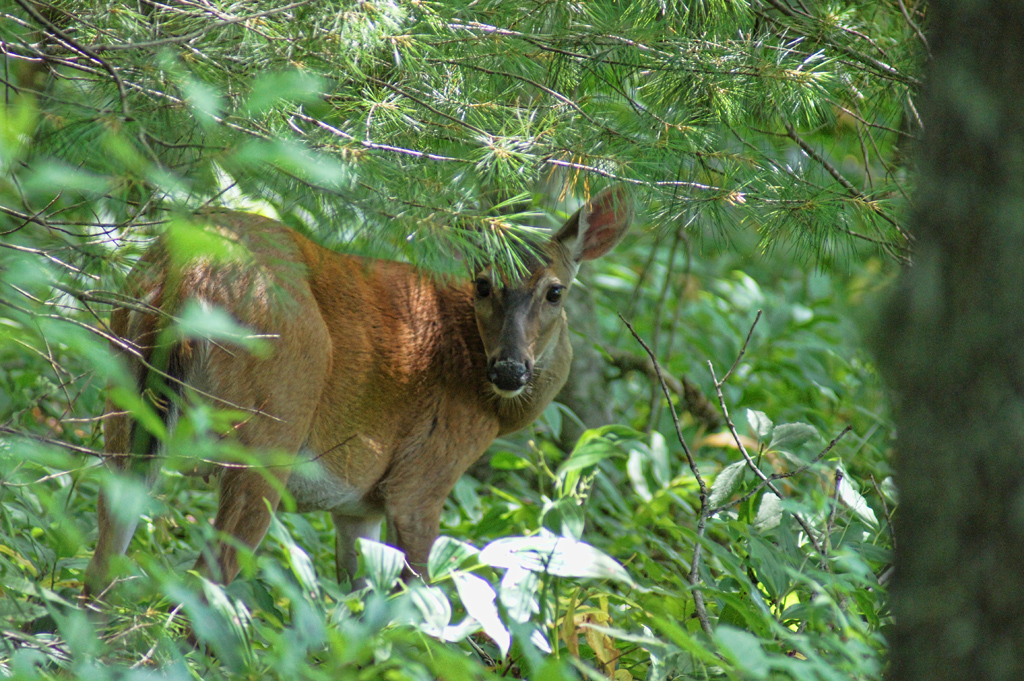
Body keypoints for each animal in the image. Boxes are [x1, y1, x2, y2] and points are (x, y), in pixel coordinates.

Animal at [83, 186, 630, 593]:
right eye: (483, 283)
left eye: (555, 291)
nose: (509, 370)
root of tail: (191, 271)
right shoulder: (422, 477)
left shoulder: (356, 506)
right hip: (272, 422)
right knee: (207, 576)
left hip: (124, 390)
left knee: (103, 557)